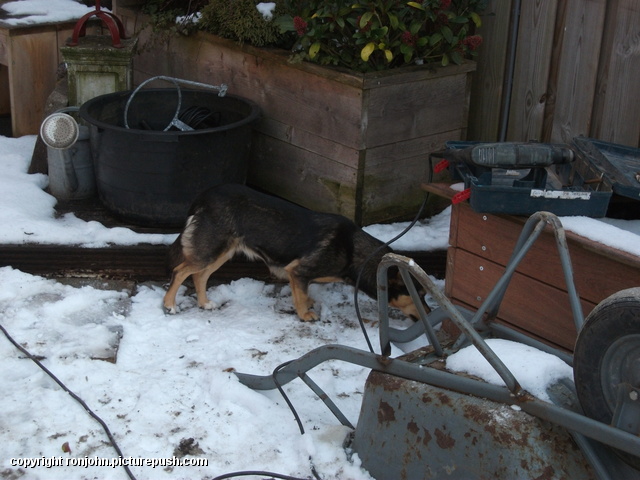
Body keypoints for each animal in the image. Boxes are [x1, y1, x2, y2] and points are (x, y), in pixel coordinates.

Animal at [162, 184, 428, 322]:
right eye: (419, 295)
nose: (430, 314)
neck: (353, 250)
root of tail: (206, 194)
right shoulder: (298, 271)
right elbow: (300, 296)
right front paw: (305, 314)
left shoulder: (300, 276)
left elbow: (304, 292)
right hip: (211, 250)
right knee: (180, 271)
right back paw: (169, 305)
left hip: (221, 252)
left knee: (199, 275)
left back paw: (204, 303)